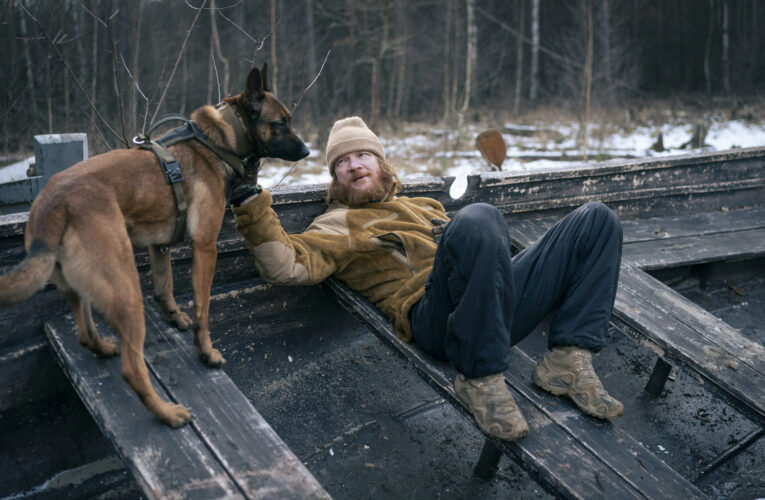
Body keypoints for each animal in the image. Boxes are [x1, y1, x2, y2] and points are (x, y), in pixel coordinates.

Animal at [1, 65, 310, 426]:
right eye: (281, 123)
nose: (307, 152)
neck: (218, 140)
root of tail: (54, 204)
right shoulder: (205, 247)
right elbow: (203, 309)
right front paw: (206, 351)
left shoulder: (159, 247)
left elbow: (165, 289)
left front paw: (175, 318)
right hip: (126, 292)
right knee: (132, 370)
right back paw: (168, 413)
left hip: (79, 289)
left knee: (86, 335)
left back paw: (106, 348)